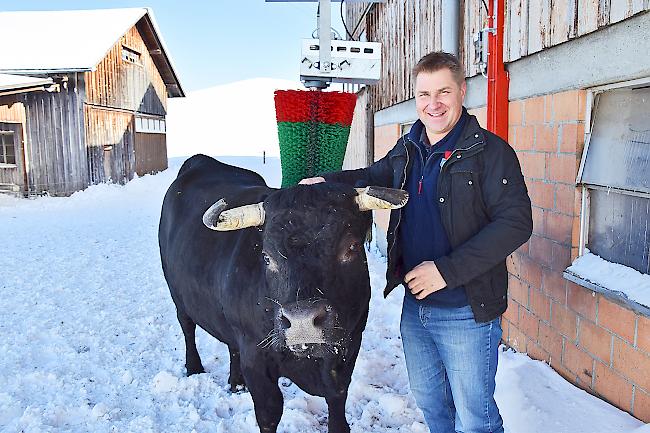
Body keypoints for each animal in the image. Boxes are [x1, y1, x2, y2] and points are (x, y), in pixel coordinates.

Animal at [158, 154, 404, 430]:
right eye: (267, 257)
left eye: (351, 247)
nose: (302, 321)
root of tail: (201, 160)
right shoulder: (255, 358)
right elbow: (269, 413)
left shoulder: (349, 346)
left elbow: (337, 401)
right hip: (177, 295)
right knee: (187, 327)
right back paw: (194, 367)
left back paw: (236, 383)